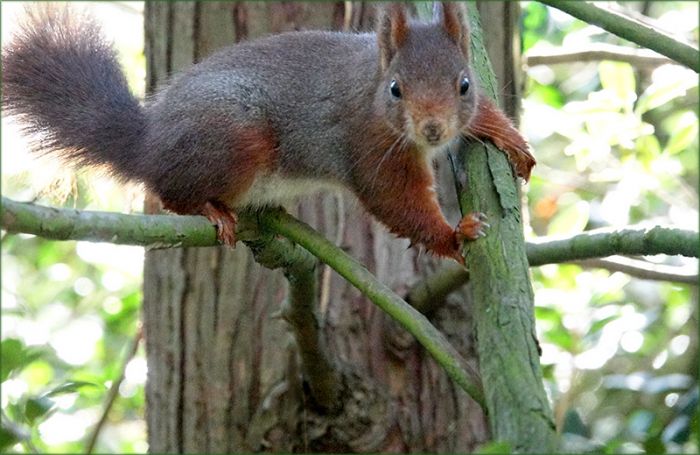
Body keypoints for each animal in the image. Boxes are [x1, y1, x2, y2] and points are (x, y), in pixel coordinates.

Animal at [2, 2, 534, 263]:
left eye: (464, 83)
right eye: (396, 89)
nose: (433, 128)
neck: (370, 83)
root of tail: (147, 142)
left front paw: (504, 134)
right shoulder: (368, 146)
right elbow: (396, 201)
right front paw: (454, 236)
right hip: (234, 138)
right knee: (168, 190)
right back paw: (209, 209)